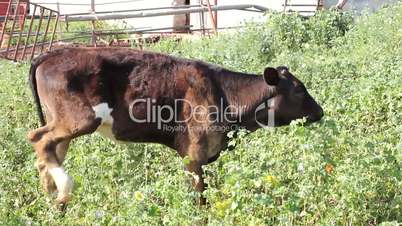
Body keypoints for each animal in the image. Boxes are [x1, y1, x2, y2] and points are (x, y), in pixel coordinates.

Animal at [27, 46, 324, 206]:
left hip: (63, 123)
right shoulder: (193, 154)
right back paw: (64, 189)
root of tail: (51, 54)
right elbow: (200, 198)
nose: (320, 112)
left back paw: (53, 200)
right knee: (38, 138)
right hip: (81, 119)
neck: (225, 96)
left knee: (48, 152)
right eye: (299, 89)